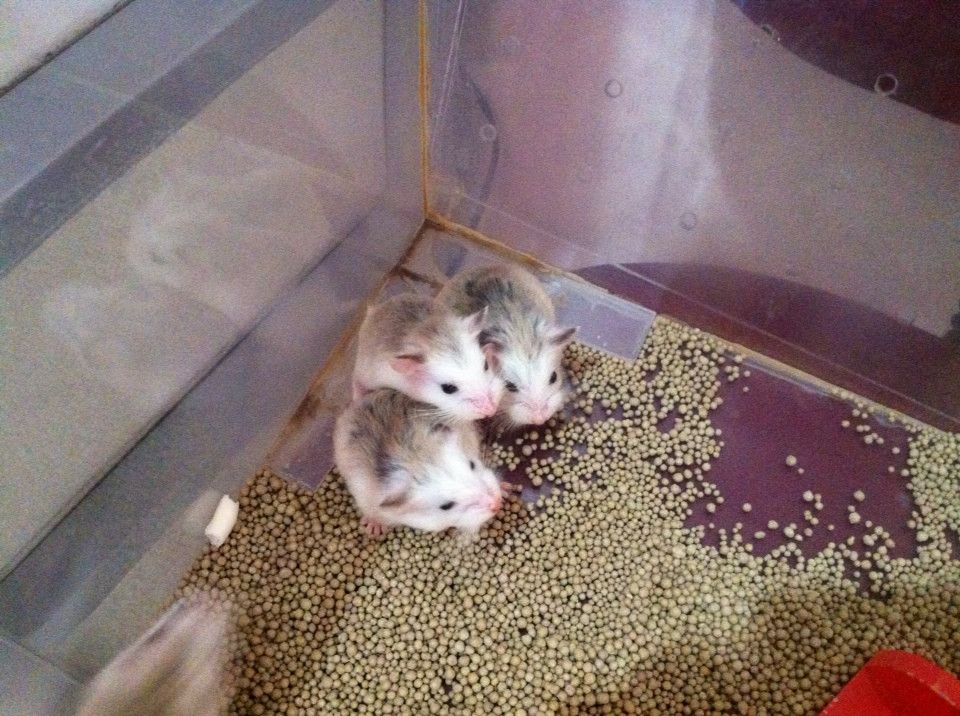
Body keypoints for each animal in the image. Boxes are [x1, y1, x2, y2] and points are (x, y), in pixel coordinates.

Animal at [352, 293, 503, 421]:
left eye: (486, 365)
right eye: (448, 388)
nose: (491, 410)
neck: (432, 336)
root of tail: (374, 310)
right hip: (364, 372)